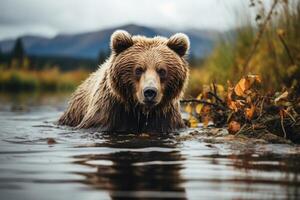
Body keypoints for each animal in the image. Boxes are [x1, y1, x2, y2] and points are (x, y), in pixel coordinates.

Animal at [58, 29, 190, 133]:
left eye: (162, 71)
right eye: (139, 69)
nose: (150, 92)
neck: (140, 110)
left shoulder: (165, 117)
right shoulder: (109, 111)